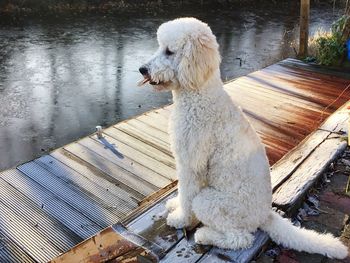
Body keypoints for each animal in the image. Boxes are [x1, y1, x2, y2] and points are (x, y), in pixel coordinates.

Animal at [139, 18, 348, 260]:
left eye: (170, 51)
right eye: (160, 46)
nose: (142, 69)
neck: (198, 94)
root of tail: (265, 214)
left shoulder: (192, 162)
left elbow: (187, 194)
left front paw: (181, 218)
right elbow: (182, 192)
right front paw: (175, 205)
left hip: (213, 204)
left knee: (240, 239)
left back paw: (206, 235)